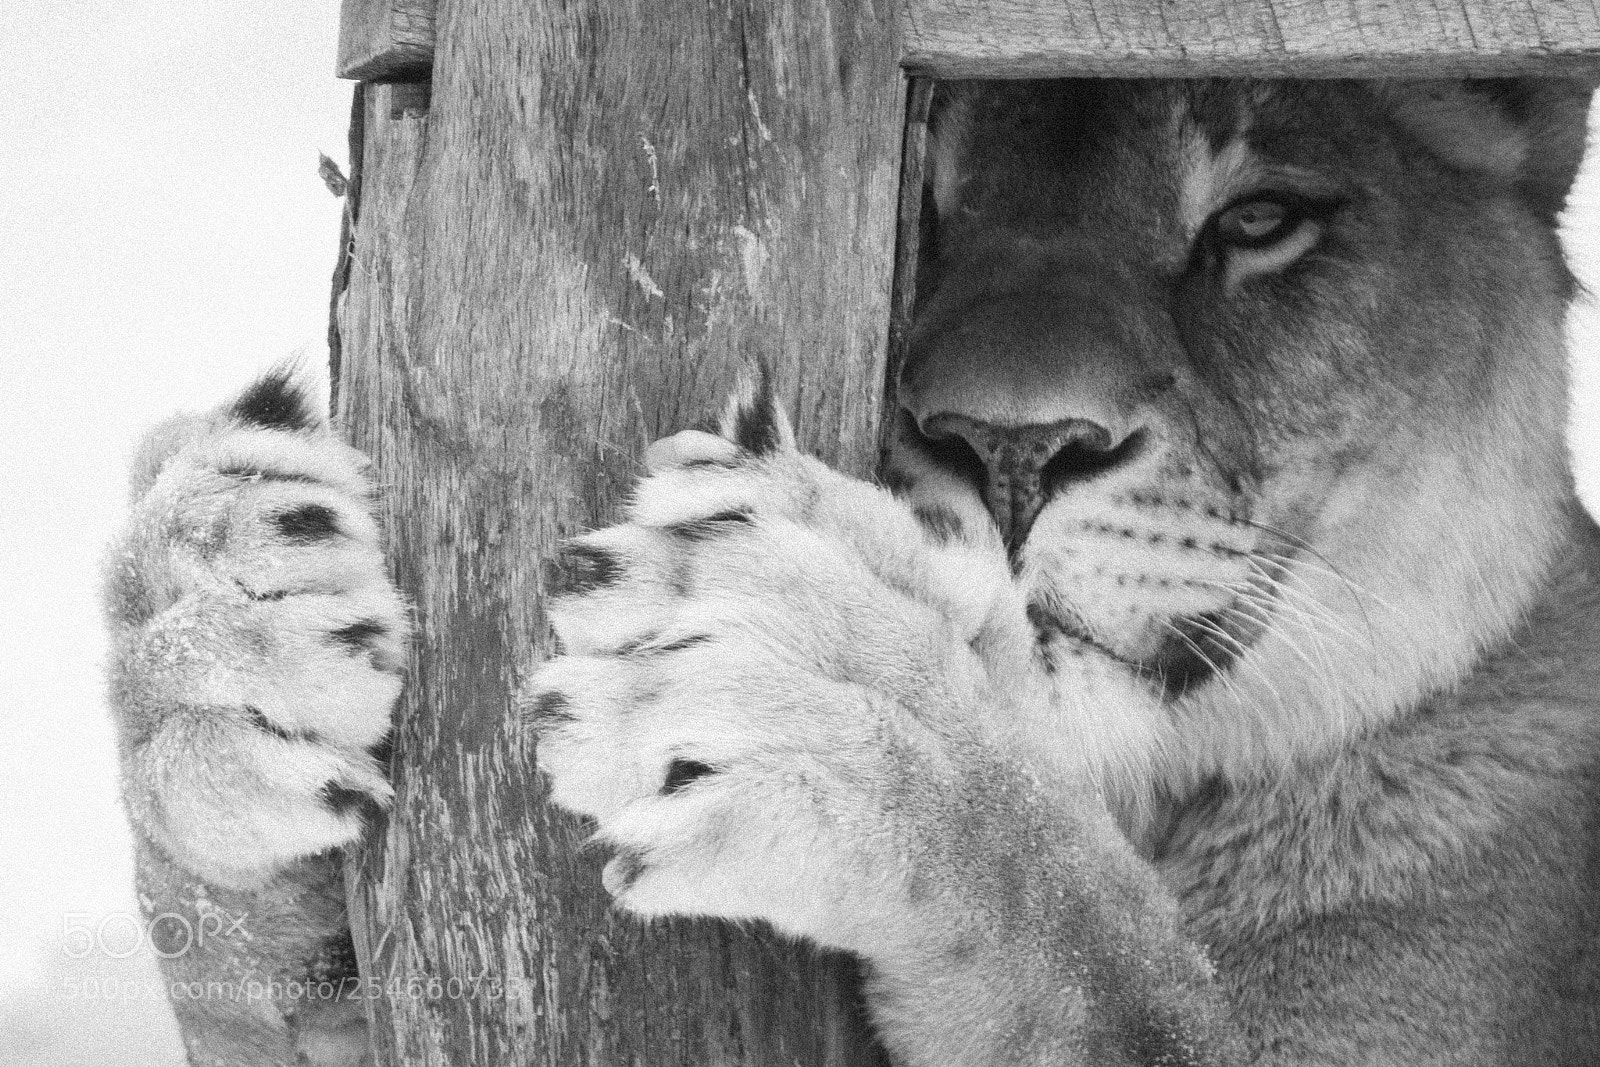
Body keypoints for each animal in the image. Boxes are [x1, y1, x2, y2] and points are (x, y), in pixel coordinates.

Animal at [106, 78, 1600, 1065]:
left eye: (1264, 219)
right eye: (917, 204)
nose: (1014, 446)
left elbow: (1100, 946)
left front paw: (836, 694)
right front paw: (218, 608)